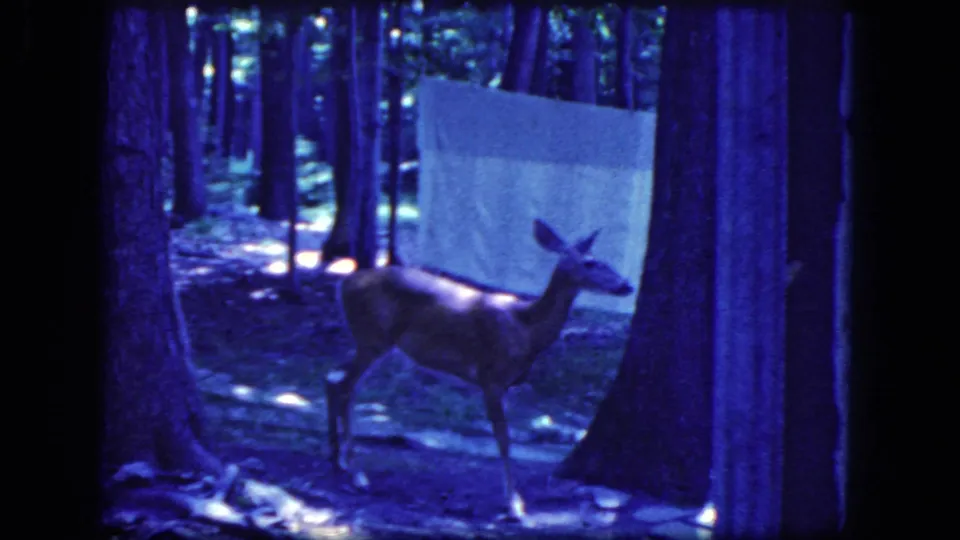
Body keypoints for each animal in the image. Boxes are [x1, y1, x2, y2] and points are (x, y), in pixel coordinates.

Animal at [325, 218, 634, 520]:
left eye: (603, 259)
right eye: (590, 263)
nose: (627, 284)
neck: (527, 328)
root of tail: (343, 284)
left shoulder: (506, 384)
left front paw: (514, 502)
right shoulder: (491, 377)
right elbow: (504, 439)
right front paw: (514, 505)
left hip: (371, 341)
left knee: (336, 380)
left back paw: (339, 459)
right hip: (373, 337)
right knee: (344, 385)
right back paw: (356, 473)